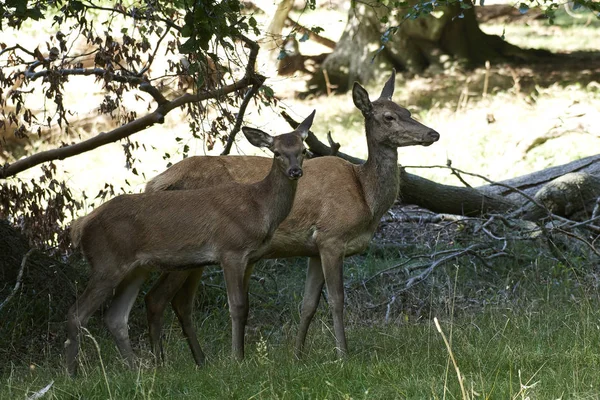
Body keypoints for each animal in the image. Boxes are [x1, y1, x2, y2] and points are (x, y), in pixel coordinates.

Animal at [64, 111, 314, 376]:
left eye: (303, 149)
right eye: (276, 152)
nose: (295, 171)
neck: (258, 206)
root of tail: (80, 226)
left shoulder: (250, 257)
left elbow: (245, 306)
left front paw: (241, 355)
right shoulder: (231, 249)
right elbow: (237, 306)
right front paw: (237, 359)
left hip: (135, 268)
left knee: (115, 317)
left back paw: (137, 371)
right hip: (107, 263)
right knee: (77, 314)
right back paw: (73, 375)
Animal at [141, 69, 440, 366]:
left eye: (407, 110)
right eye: (388, 117)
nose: (433, 133)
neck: (365, 196)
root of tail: (152, 185)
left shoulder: (313, 248)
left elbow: (308, 304)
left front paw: (298, 355)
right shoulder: (332, 236)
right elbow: (337, 299)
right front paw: (343, 354)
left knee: (178, 302)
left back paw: (198, 362)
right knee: (158, 298)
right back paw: (165, 363)